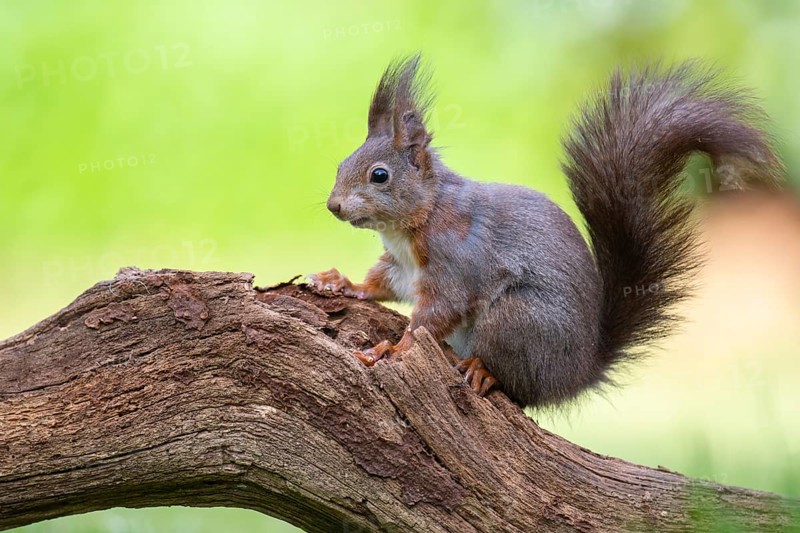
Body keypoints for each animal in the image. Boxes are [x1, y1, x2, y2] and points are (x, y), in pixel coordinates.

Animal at [308, 55, 784, 408]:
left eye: (380, 175)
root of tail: (578, 373)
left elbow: (435, 315)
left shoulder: (455, 263)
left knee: (520, 385)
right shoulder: (401, 266)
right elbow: (380, 284)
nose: (333, 206)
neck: (413, 224)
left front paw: (393, 349)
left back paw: (484, 370)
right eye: (340, 163)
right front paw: (339, 282)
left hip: (517, 319)